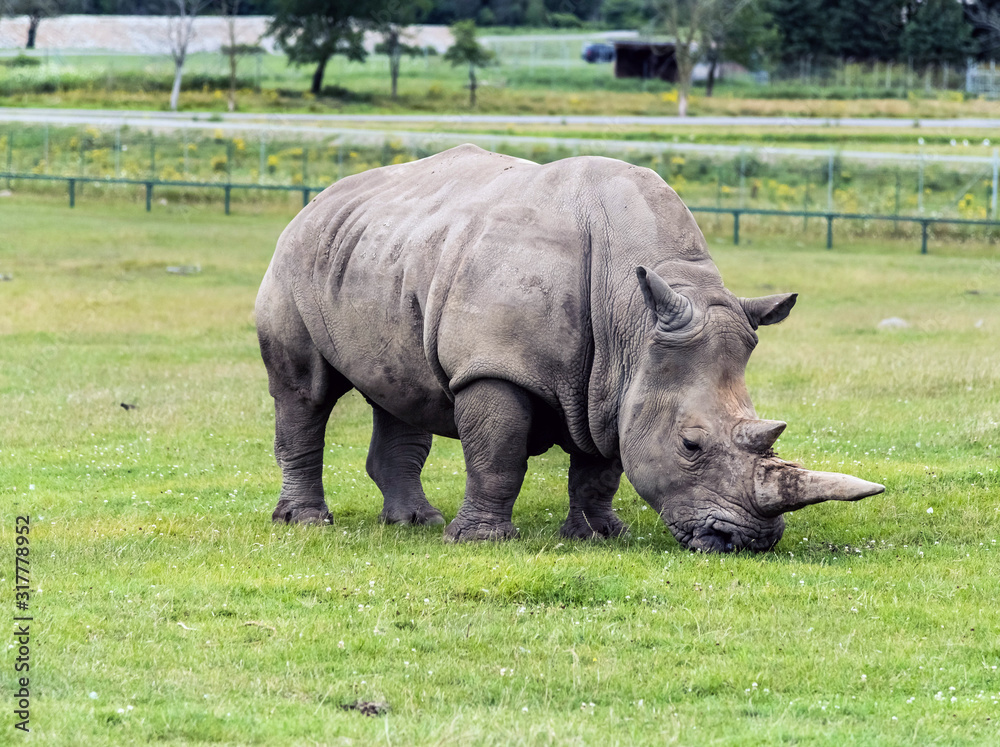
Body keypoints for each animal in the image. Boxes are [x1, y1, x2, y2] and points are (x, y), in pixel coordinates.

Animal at [255, 144, 883, 552]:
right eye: (690, 445)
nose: (748, 542)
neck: (634, 317)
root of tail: (320, 198)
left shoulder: (615, 379)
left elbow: (602, 465)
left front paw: (600, 534)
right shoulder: (496, 366)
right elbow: (498, 454)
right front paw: (481, 542)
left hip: (382, 251)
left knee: (401, 390)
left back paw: (415, 523)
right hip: (294, 256)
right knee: (305, 392)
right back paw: (307, 524)